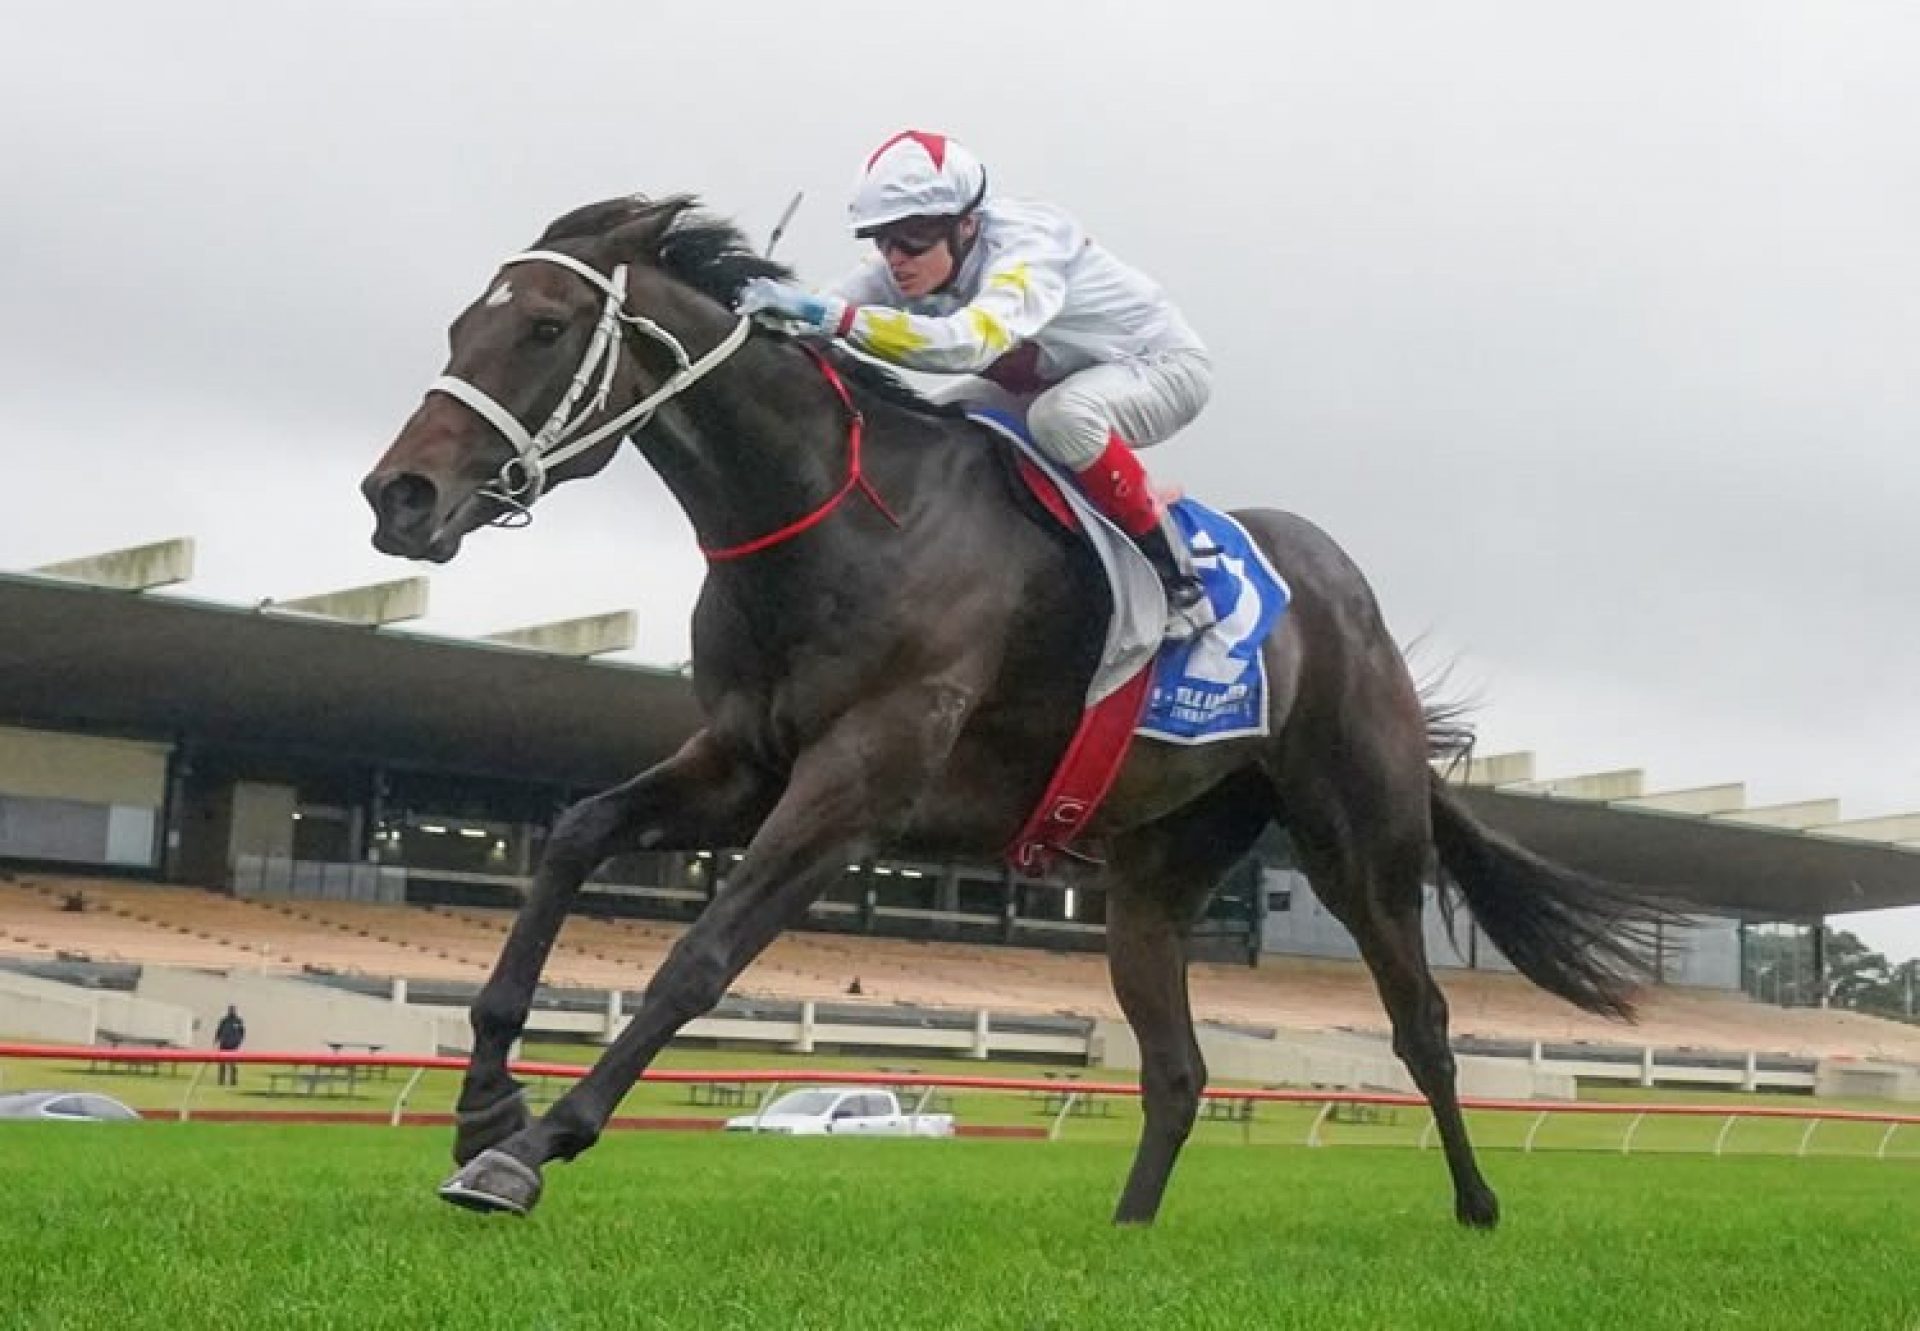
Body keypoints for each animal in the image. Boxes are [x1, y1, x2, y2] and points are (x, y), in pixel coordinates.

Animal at [362, 194, 1681, 1221]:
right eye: (462, 324)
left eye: (544, 327)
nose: (398, 495)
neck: (837, 520)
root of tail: (1352, 603)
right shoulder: (744, 759)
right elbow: (576, 834)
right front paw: (485, 1096)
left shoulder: (858, 781)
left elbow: (699, 956)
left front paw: (531, 1146)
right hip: (1155, 872)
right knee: (1178, 1067)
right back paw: (1130, 1232)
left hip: (1360, 839)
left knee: (1422, 1020)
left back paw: (1478, 1204)